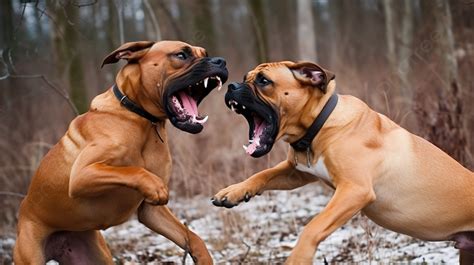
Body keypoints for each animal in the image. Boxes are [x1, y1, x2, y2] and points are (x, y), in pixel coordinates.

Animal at [13, 40, 229, 262]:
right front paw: (154, 185)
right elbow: (132, 171)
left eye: (205, 53)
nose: (220, 61)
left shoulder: (151, 212)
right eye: (181, 55)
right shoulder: (82, 174)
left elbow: (193, 238)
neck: (141, 119)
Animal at [212, 60, 474, 262]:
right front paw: (234, 191)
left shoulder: (354, 190)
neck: (320, 125)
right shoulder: (297, 172)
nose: (231, 86)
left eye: (263, 81)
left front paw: (299, 257)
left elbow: (313, 226)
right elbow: (263, 175)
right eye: (246, 77)